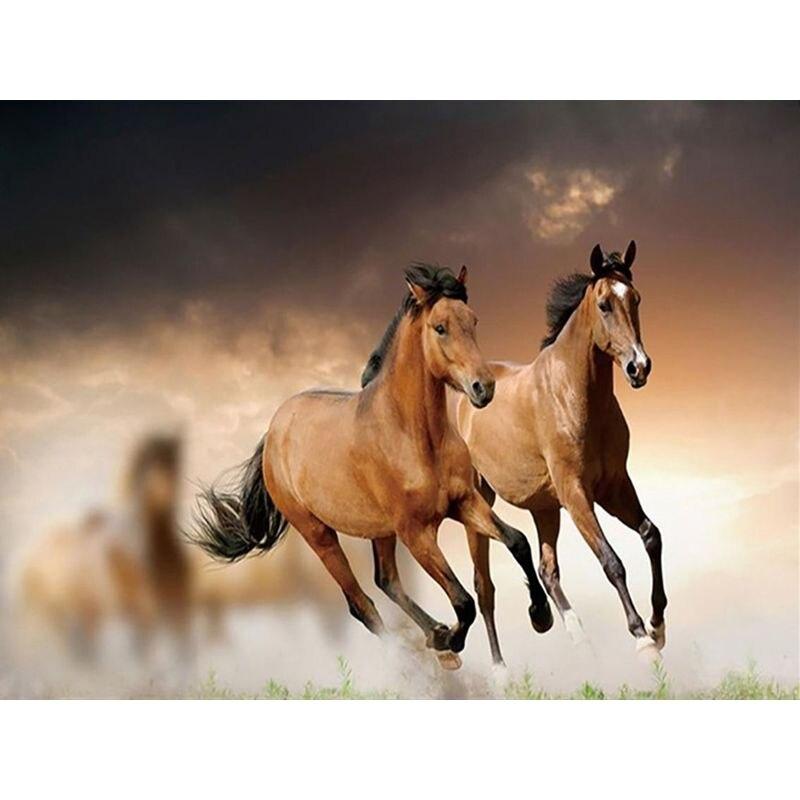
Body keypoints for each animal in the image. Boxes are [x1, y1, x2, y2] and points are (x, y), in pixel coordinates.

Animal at [189, 263, 552, 669]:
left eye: (473, 320)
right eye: (440, 327)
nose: (483, 388)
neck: (413, 435)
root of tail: (273, 431)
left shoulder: (464, 502)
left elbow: (518, 542)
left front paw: (540, 616)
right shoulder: (416, 532)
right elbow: (463, 601)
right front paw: (451, 640)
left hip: (379, 529)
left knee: (386, 581)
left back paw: (435, 638)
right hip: (319, 534)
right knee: (361, 603)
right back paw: (427, 654)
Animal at [455, 242, 667, 665]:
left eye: (635, 299)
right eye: (604, 304)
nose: (639, 367)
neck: (574, 395)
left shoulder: (614, 486)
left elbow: (651, 536)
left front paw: (658, 624)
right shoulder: (576, 493)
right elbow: (611, 561)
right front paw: (642, 639)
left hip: (544, 508)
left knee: (547, 570)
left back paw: (574, 635)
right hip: (480, 504)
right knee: (484, 588)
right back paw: (502, 669)